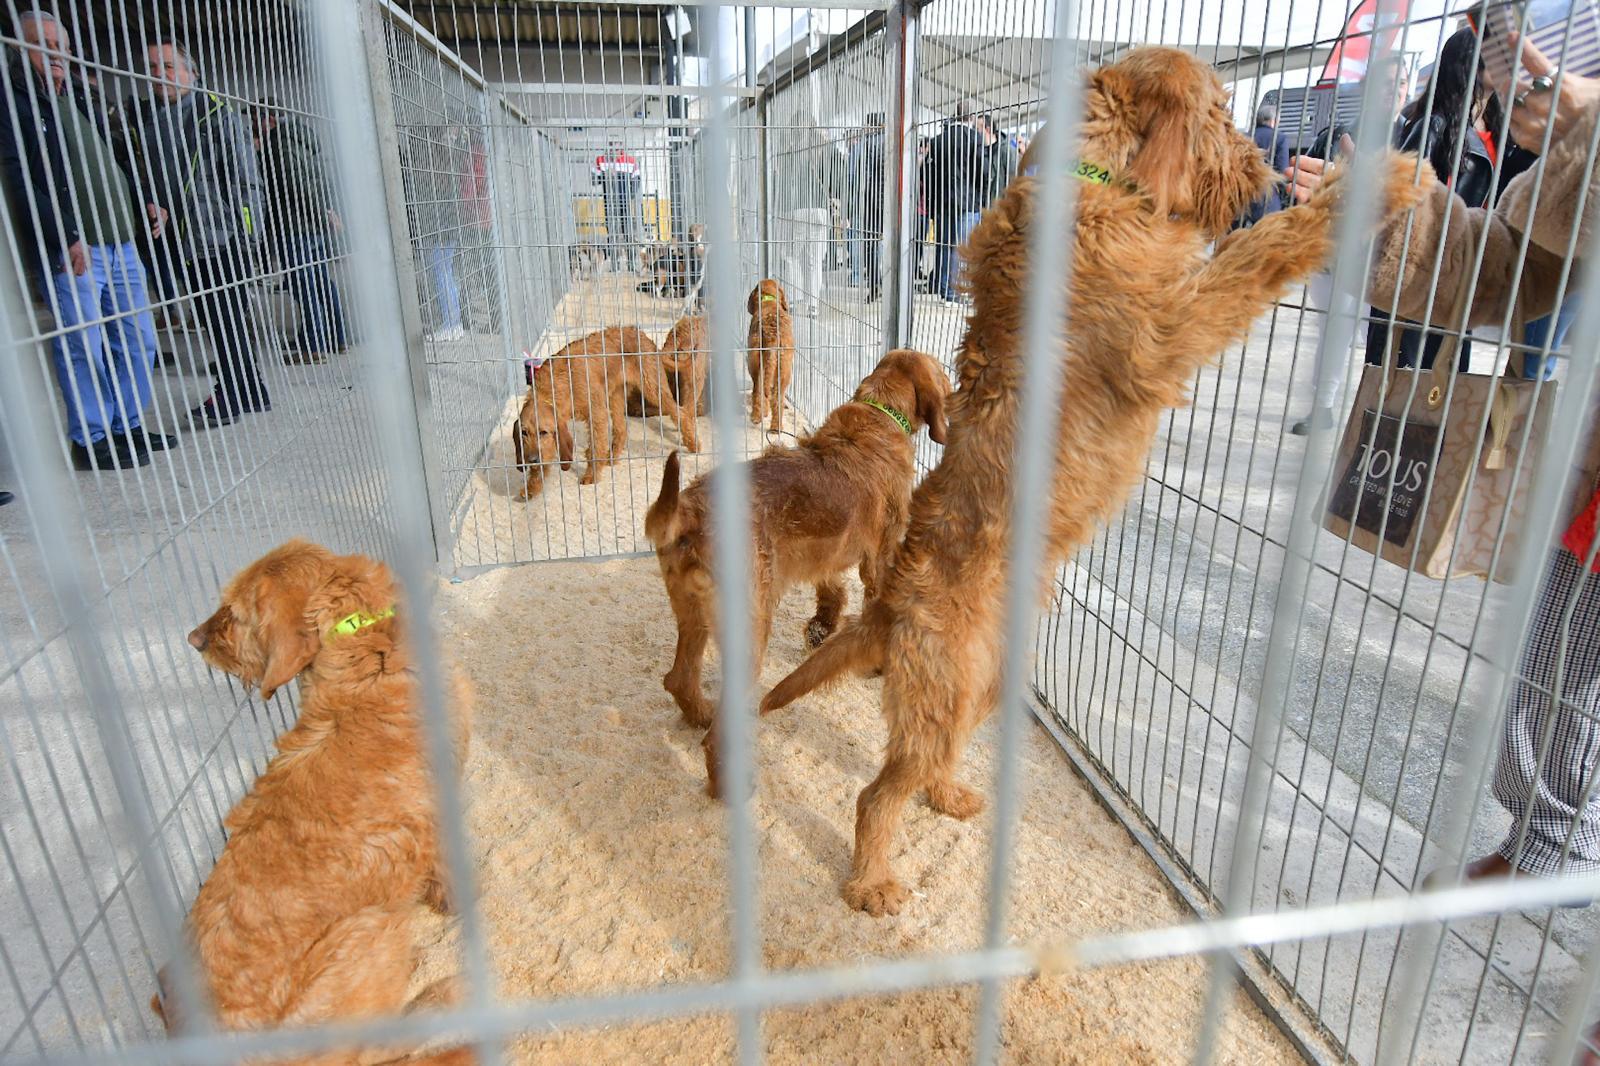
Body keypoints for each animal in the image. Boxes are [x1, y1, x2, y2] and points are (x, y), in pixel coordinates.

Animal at [515, 323, 697, 492]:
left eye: (543, 432)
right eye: (524, 433)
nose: (531, 460)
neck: (558, 383)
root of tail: (640, 333)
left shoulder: (597, 414)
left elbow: (596, 447)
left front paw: (591, 475)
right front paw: (532, 486)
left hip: (653, 388)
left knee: (680, 412)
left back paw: (693, 444)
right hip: (615, 396)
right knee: (621, 429)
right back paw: (613, 456)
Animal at [643, 348, 947, 797]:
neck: (879, 411)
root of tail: (687, 511)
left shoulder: (827, 554)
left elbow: (831, 592)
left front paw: (821, 629)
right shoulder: (879, 556)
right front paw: (875, 664)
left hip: (692, 615)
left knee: (678, 680)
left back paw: (699, 714)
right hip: (749, 634)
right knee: (715, 732)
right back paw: (729, 787)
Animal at [748, 280, 800, 438]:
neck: (769, 300)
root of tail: (772, 335)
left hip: (753, 361)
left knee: (758, 389)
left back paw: (757, 417)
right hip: (784, 369)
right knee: (776, 397)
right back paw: (776, 428)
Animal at [755, 47, 1433, 915]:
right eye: (1220, 111)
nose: (1263, 171)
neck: (1095, 181)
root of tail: (888, 605)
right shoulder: (1172, 326)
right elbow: (1259, 255)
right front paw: (1374, 184)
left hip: (980, 686)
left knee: (925, 764)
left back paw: (948, 794)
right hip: (946, 688)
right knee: (877, 795)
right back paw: (872, 880)